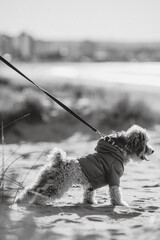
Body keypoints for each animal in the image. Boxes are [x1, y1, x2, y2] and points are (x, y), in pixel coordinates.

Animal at [15, 124, 154, 207]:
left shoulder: (90, 182)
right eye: (145, 143)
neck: (118, 149)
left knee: (30, 189)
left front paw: (89, 202)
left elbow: (88, 193)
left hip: (45, 178)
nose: (152, 151)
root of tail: (59, 160)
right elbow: (115, 192)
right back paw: (39, 203)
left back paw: (20, 201)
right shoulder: (114, 177)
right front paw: (120, 203)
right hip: (59, 185)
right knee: (42, 193)